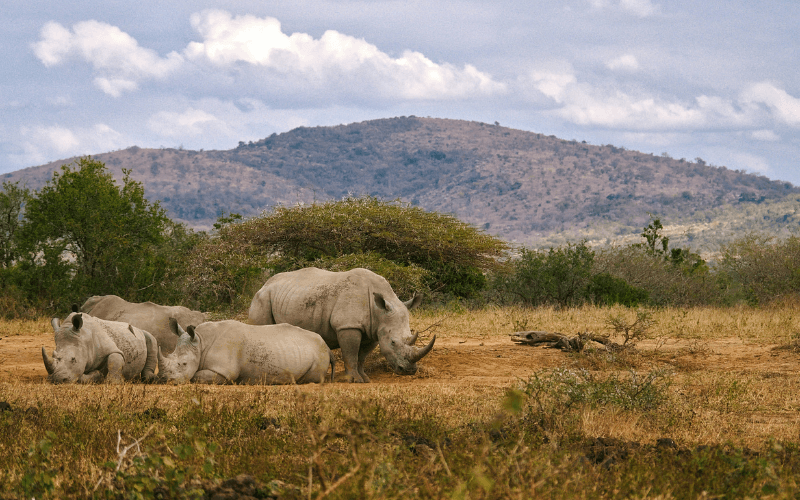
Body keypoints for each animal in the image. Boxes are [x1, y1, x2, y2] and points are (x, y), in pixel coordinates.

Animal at [158, 318, 332, 384]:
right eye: (170, 355)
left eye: (183, 363)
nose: (165, 379)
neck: (200, 342)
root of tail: (327, 346)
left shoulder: (224, 371)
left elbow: (197, 376)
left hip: (319, 352)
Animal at [252, 270, 434, 382]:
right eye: (393, 342)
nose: (409, 370)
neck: (378, 311)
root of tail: (263, 285)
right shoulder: (347, 326)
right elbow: (350, 353)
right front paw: (354, 380)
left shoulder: (373, 331)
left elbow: (361, 357)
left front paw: (365, 379)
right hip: (262, 298)